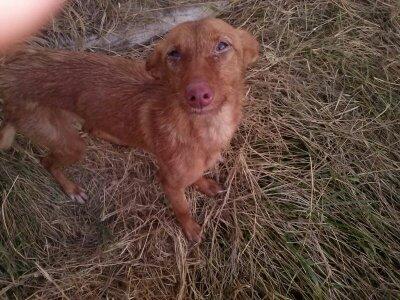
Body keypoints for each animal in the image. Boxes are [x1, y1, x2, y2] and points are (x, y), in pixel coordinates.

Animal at [0, 18, 260, 241]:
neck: (204, 128)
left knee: (90, 127)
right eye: (173, 53)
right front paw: (190, 229)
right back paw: (71, 189)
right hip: (69, 144)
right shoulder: (168, 182)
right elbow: (183, 209)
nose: (197, 94)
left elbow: (196, 176)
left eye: (222, 45)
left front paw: (204, 185)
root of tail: (9, 72)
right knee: (47, 161)